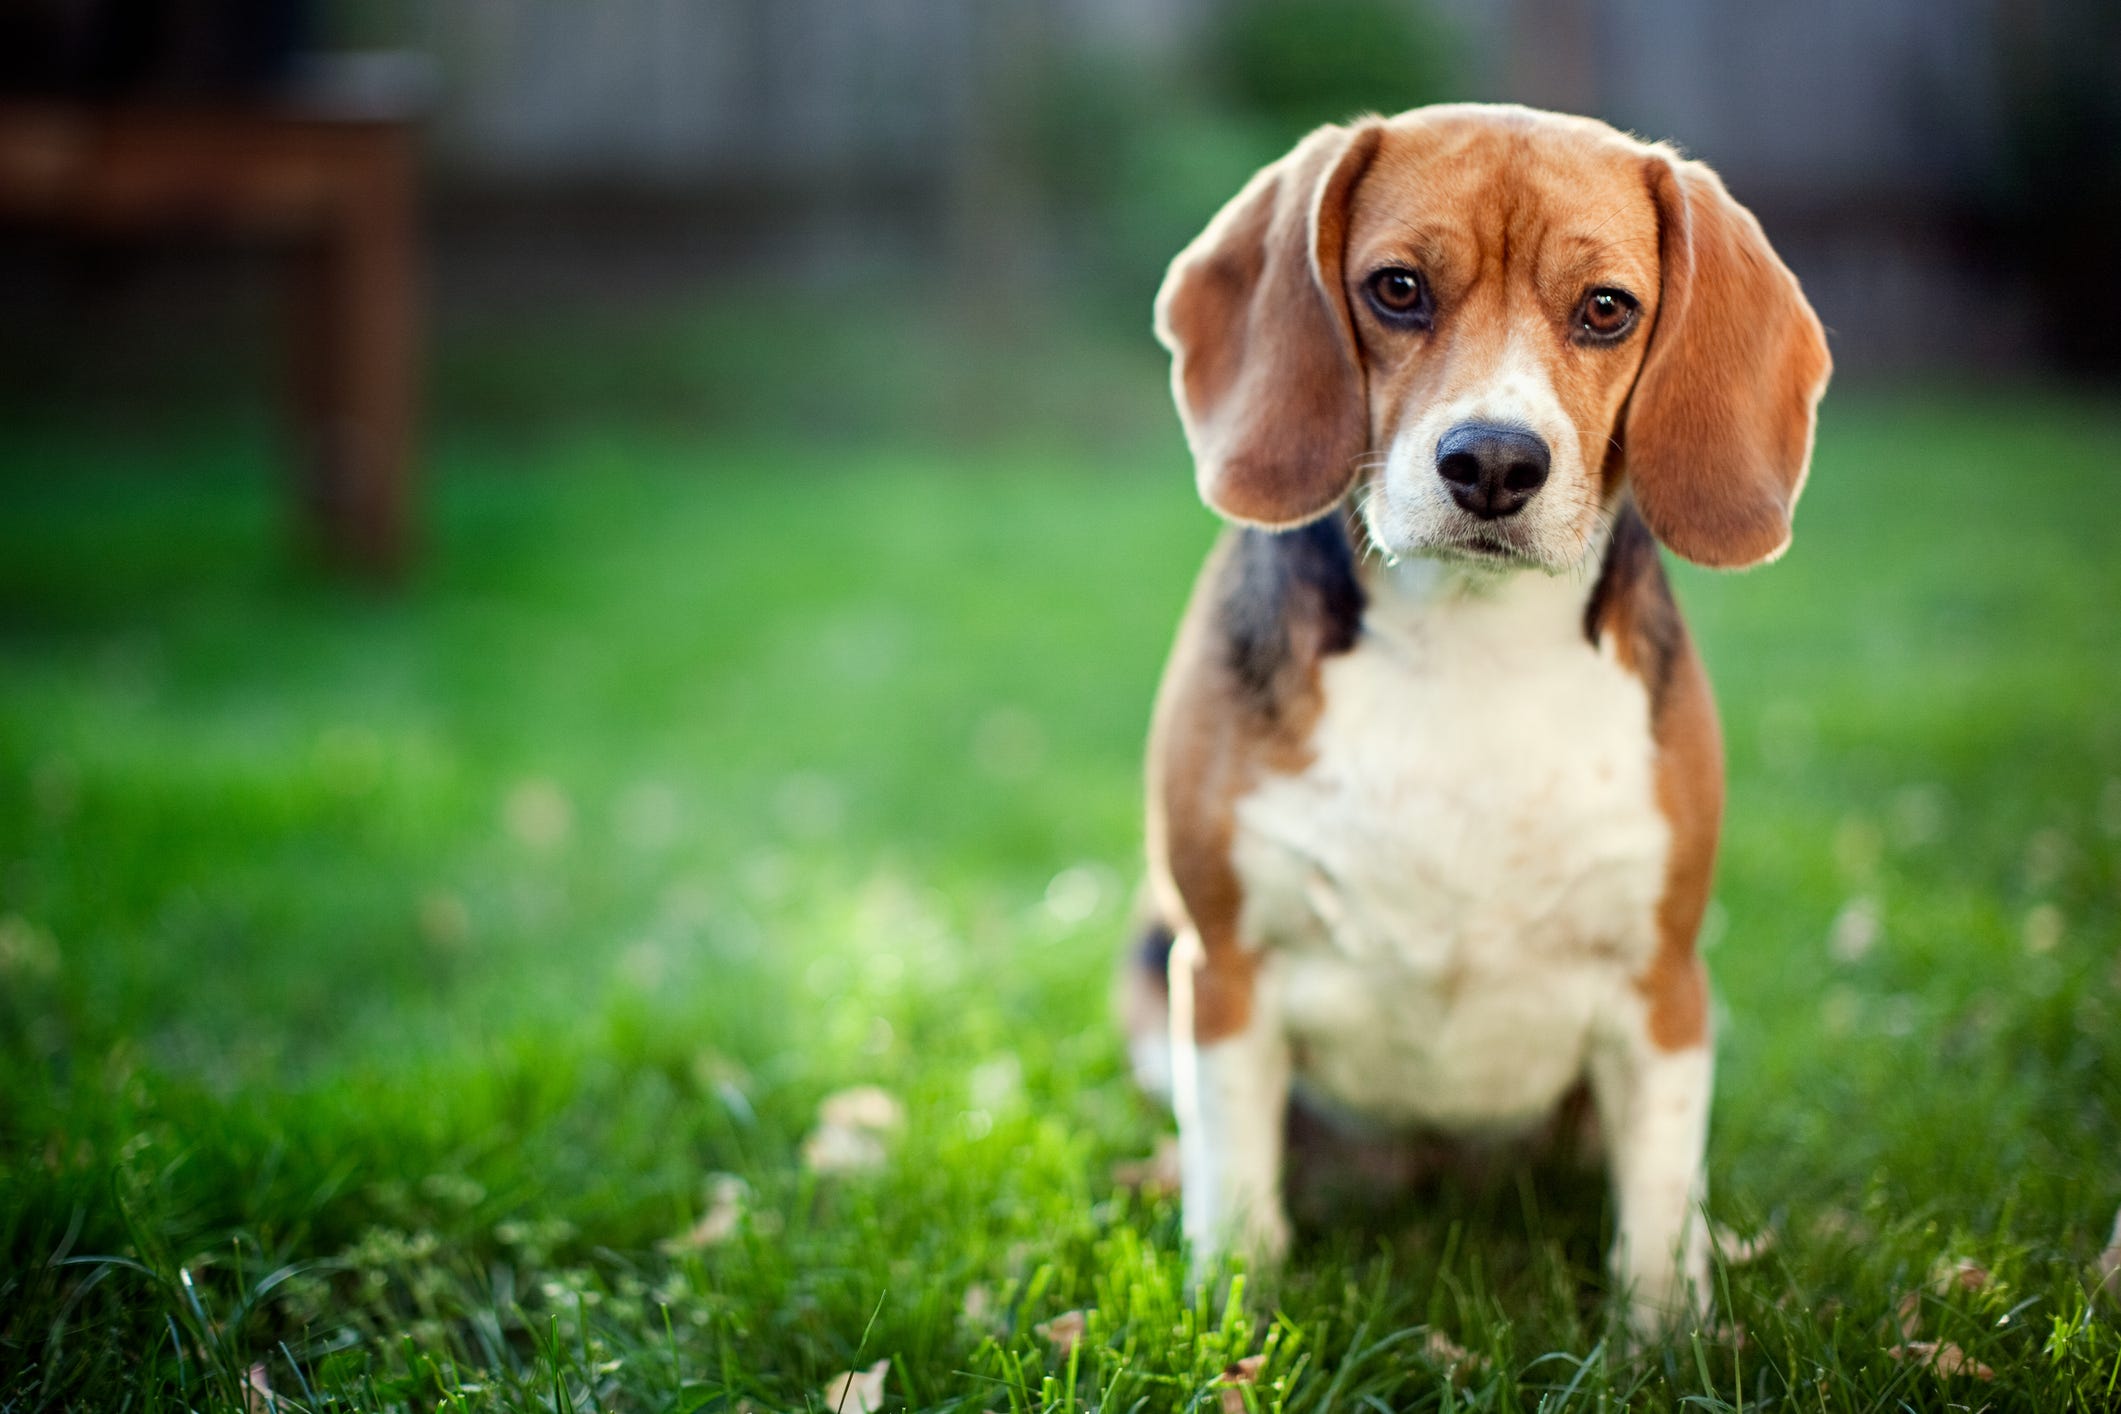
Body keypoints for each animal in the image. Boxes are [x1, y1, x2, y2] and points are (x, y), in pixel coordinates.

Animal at [1119, 104, 1832, 1331]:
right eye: (1397, 288)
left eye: (1607, 308)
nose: (1494, 461)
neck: (1470, 643)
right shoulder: (1223, 972)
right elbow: (1239, 1192)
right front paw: (1235, 1320)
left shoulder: (1661, 985)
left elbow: (1657, 1202)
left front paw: (1669, 1336)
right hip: (1148, 955)